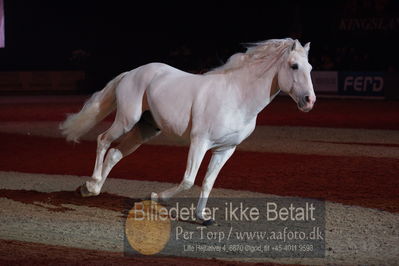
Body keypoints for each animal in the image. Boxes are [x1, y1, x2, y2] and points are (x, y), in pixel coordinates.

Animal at [59, 38, 316, 223]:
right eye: (294, 66)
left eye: (310, 67)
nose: (309, 101)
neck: (237, 96)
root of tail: (131, 73)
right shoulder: (200, 142)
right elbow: (189, 180)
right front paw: (155, 197)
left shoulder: (225, 149)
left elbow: (208, 182)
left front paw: (202, 217)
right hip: (126, 120)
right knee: (103, 140)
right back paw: (91, 184)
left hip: (145, 130)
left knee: (114, 154)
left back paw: (91, 189)